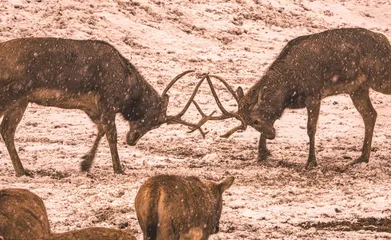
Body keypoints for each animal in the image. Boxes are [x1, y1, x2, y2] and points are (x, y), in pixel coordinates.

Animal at [0, 37, 211, 176]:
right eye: (154, 120)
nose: (132, 140)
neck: (126, 88)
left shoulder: (91, 106)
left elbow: (101, 129)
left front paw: (85, 164)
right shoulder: (107, 101)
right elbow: (111, 134)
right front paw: (119, 168)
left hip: (22, 100)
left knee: (7, 129)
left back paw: (22, 171)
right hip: (12, 92)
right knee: (6, 128)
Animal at [196, 27, 391, 169]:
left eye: (256, 120)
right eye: (251, 124)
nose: (271, 135)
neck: (288, 90)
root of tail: (385, 41)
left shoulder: (314, 94)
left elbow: (311, 129)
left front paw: (311, 162)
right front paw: (262, 154)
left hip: (380, 77)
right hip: (358, 88)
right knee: (370, 115)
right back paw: (362, 158)